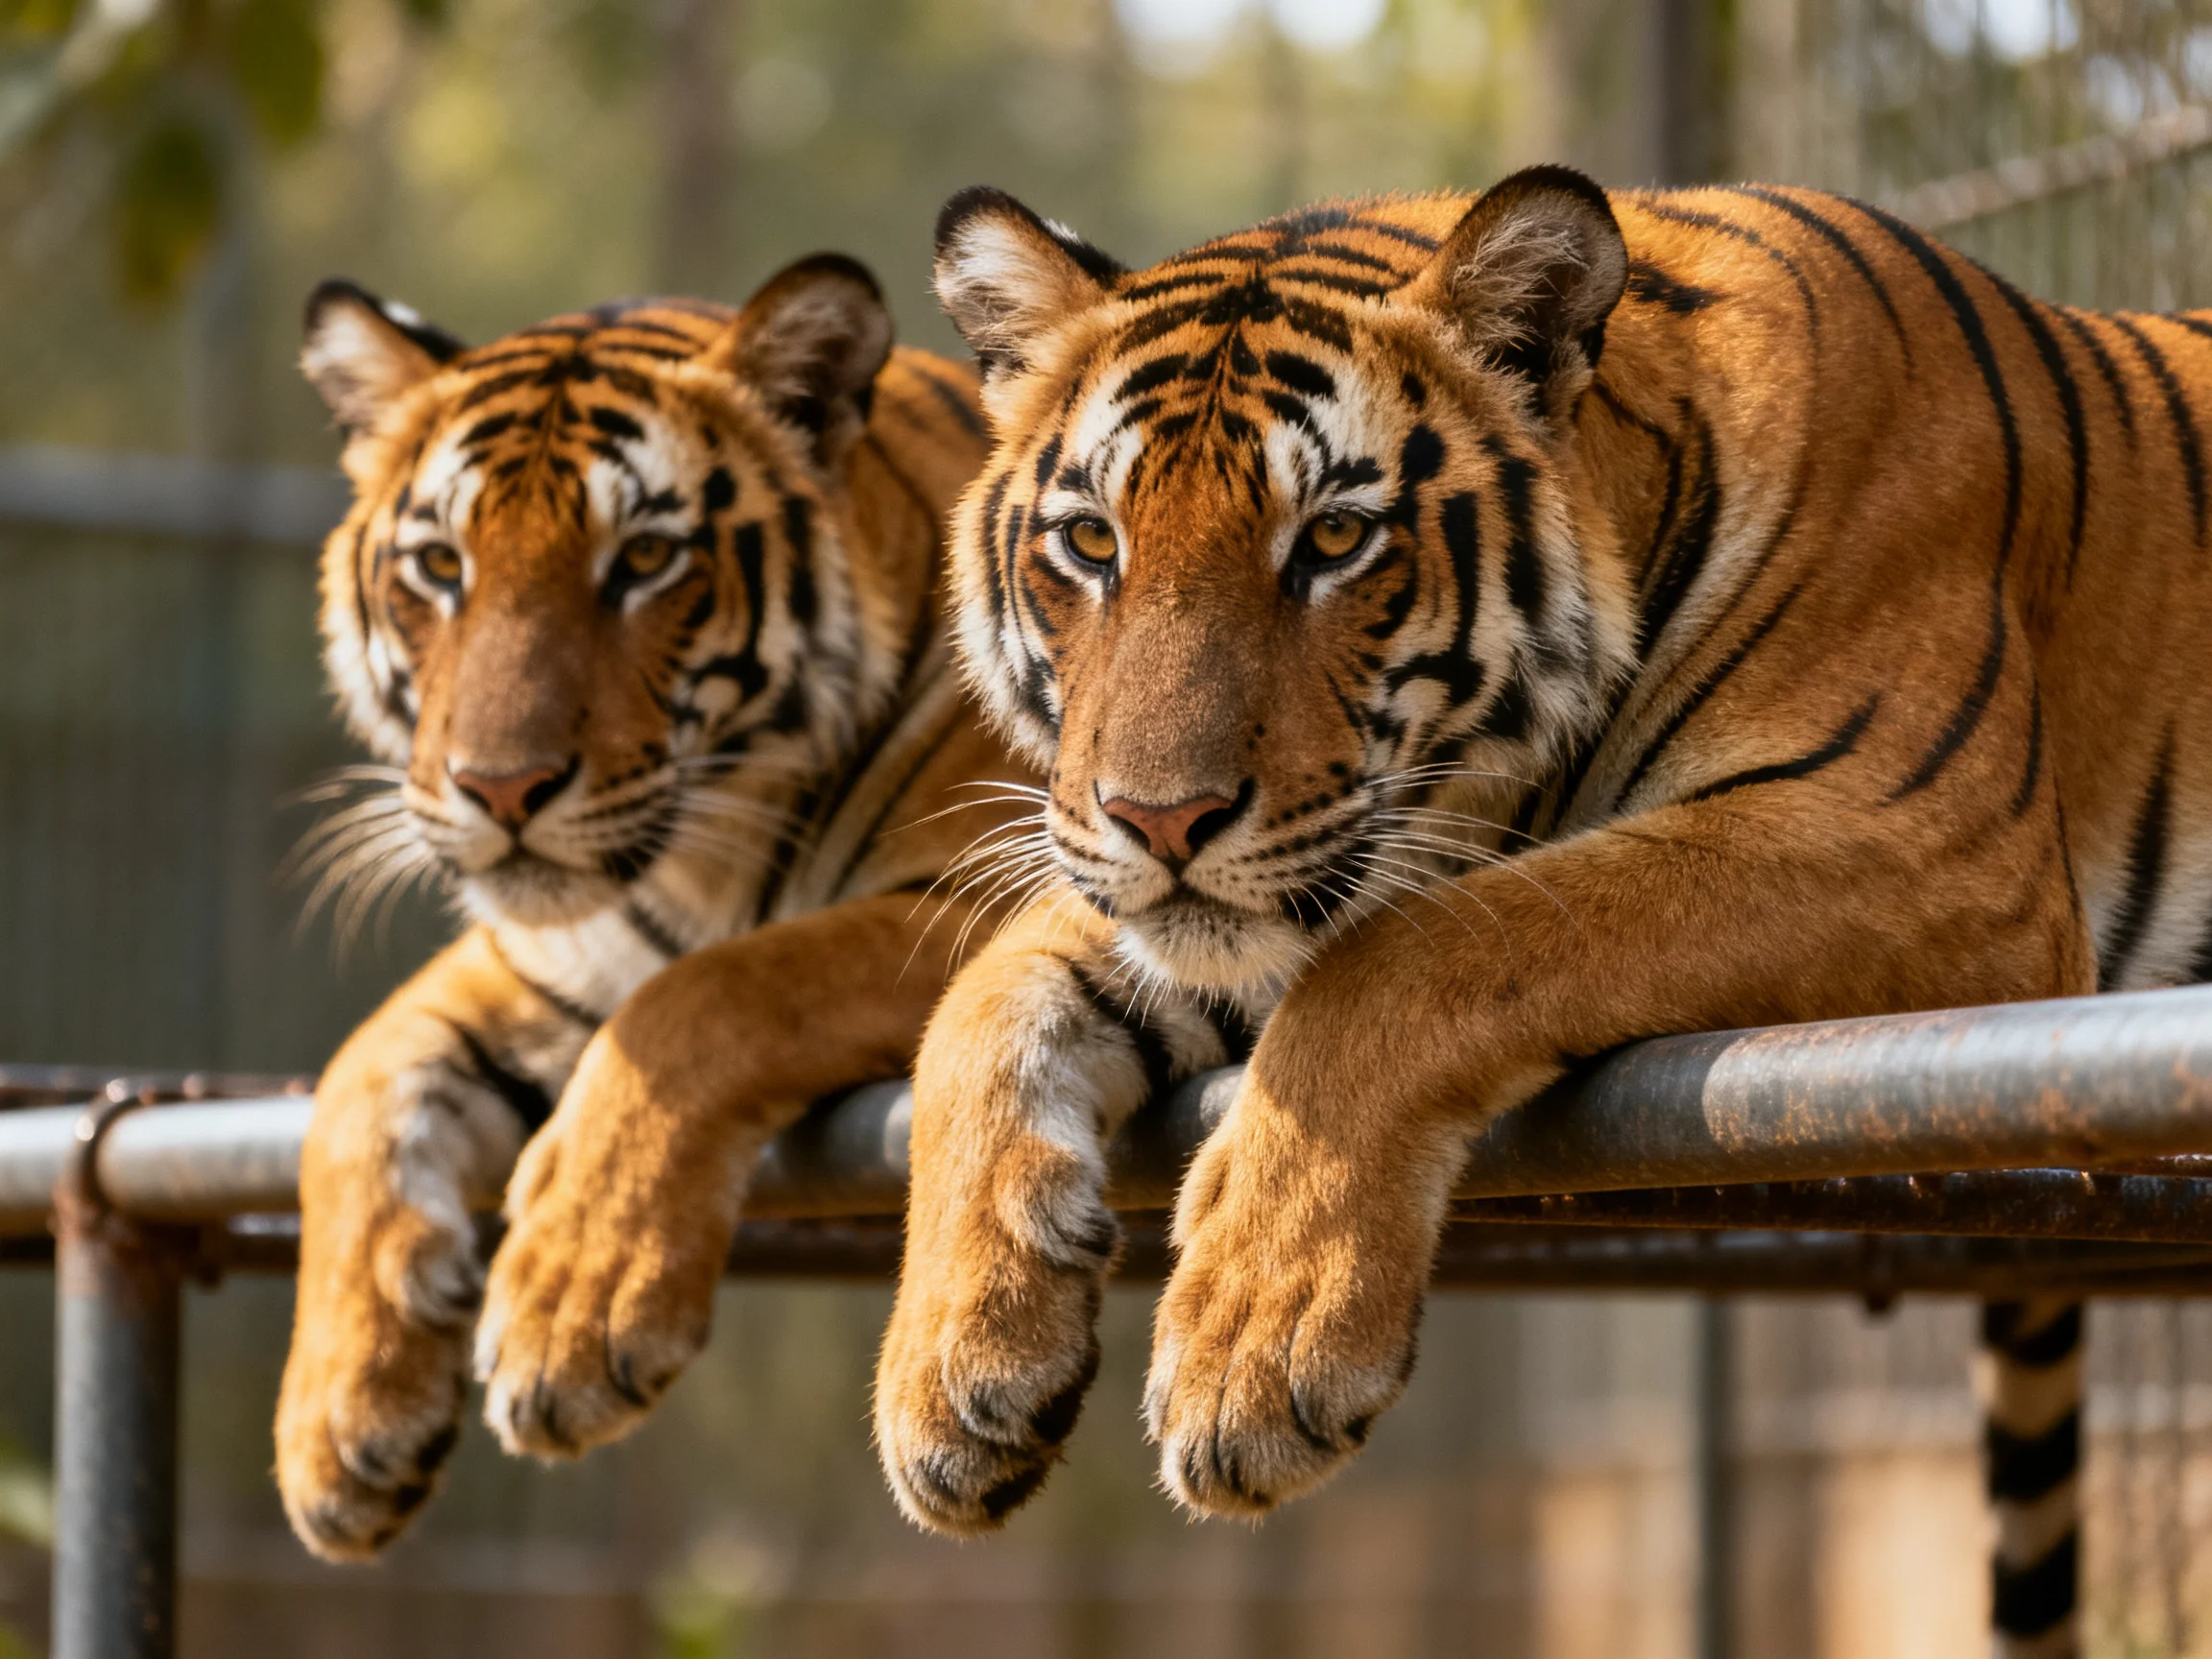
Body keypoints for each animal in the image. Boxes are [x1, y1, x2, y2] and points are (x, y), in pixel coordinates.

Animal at [276, 255, 1033, 1561]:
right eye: (440, 567)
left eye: (641, 562)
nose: (498, 787)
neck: (699, 862)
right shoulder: (547, 959)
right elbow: (359, 1080)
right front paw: (338, 1422)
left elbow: (714, 990)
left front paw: (571, 1315)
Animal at [872, 168, 2212, 1657]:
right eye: (1091, 542)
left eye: (1333, 538)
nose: (1159, 820)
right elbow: (979, 1007)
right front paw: (952, 1369)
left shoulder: (1930, 848)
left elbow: (1433, 951)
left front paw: (1257, 1341)